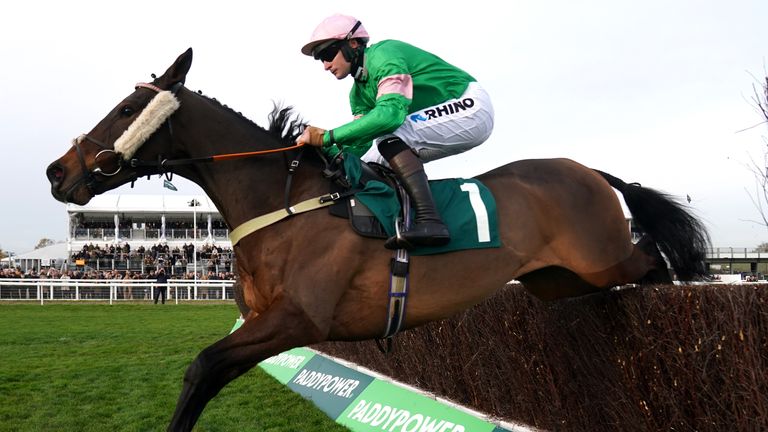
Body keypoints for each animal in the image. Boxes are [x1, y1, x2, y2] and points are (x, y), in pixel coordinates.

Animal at [46, 49, 708, 430]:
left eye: (127, 106)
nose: (57, 171)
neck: (286, 202)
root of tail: (590, 170)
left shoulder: (299, 320)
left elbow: (201, 367)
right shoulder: (263, 324)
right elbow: (206, 374)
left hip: (603, 259)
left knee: (653, 260)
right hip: (556, 281)